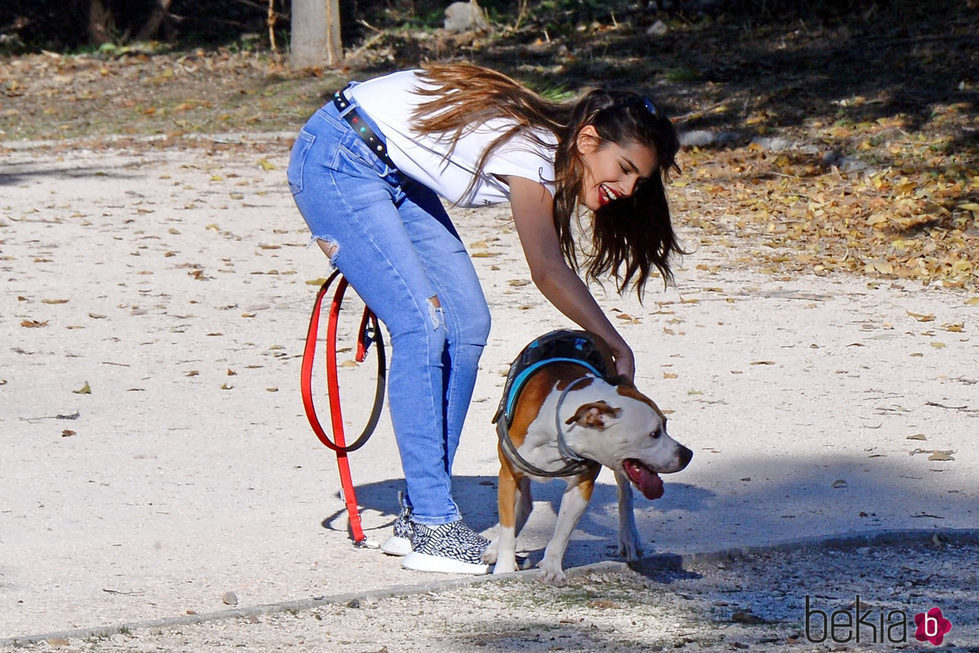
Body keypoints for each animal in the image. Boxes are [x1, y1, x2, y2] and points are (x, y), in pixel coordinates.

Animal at [486, 338, 692, 580]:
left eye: (665, 425)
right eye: (654, 433)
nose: (687, 455)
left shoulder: (581, 487)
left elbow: (563, 531)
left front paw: (552, 567)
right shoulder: (509, 475)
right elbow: (508, 529)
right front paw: (504, 569)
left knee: (625, 495)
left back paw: (629, 538)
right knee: (522, 506)